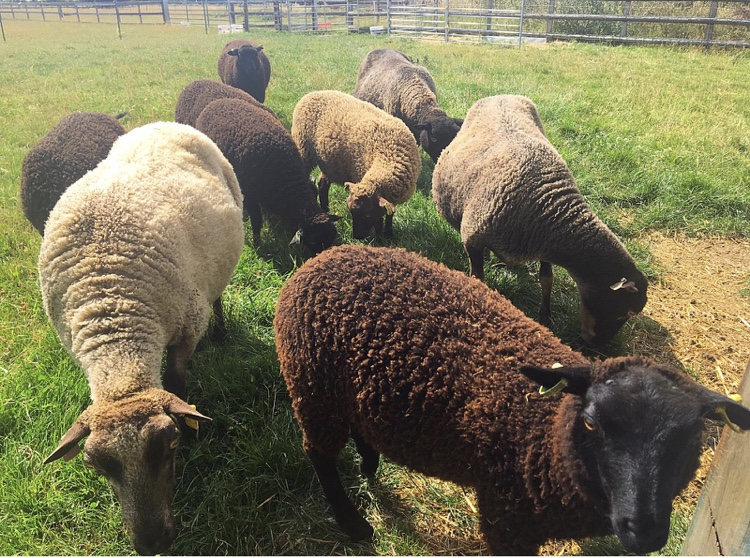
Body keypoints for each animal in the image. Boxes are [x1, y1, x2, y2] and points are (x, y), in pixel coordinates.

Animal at [39, 122, 245, 555]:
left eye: (170, 447)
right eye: (95, 466)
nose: (151, 543)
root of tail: (163, 124)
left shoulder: (187, 327)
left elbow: (178, 383)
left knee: (217, 297)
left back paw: (220, 332)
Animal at [195, 97, 339, 253]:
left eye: (333, 237)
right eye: (313, 243)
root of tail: (218, 102)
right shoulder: (250, 195)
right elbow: (257, 220)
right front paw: (257, 243)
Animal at [273, 244, 750, 556]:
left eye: (691, 439)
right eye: (591, 423)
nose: (644, 531)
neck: (547, 429)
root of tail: (324, 257)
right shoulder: (506, 517)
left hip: (347, 392)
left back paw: (370, 464)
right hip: (313, 387)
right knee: (318, 454)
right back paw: (353, 524)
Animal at [291, 90, 422, 239]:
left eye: (367, 214)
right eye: (351, 212)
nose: (357, 237)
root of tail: (313, 93)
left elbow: (389, 214)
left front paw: (389, 234)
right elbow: (380, 221)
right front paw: (380, 238)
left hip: (331, 164)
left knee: (322, 183)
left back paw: (326, 209)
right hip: (303, 148)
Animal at [432, 94, 648, 345]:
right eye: (624, 312)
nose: (598, 346)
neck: (548, 208)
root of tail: (501, 95)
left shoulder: (543, 245)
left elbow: (547, 279)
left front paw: (546, 315)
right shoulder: (473, 238)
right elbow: (479, 279)